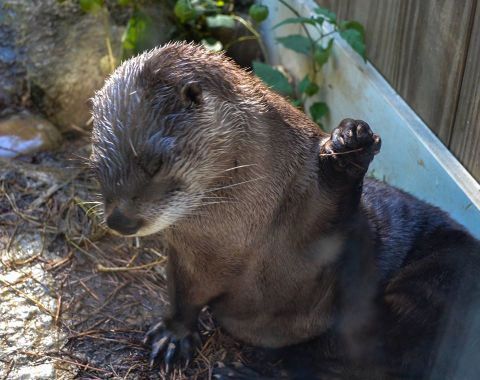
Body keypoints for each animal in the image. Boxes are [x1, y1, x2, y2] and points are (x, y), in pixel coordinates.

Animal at [89, 43, 480, 378]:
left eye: (155, 163)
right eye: (96, 167)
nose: (120, 219)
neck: (241, 236)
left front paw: (351, 140)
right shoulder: (187, 258)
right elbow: (182, 295)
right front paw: (172, 336)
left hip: (436, 285)